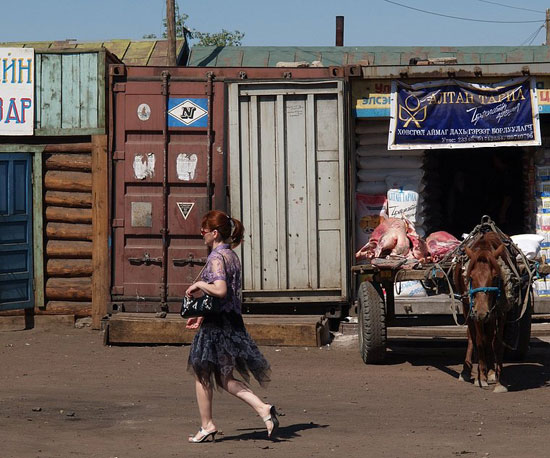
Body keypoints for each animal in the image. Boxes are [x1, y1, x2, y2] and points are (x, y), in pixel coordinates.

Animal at [454, 233, 512, 394]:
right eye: (471, 277)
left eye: (495, 277)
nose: (481, 312)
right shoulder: (474, 311)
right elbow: (479, 340)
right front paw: (482, 378)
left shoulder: (500, 311)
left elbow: (496, 342)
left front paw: (499, 381)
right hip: (468, 308)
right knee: (472, 336)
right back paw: (467, 371)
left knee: (490, 337)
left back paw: (491, 370)